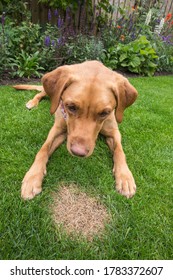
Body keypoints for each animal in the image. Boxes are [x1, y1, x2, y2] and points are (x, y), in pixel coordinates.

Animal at [13, 60, 138, 199]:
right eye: (71, 107)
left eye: (105, 113)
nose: (78, 152)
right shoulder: (57, 129)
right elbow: (43, 149)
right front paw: (32, 177)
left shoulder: (114, 132)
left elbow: (119, 151)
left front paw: (125, 177)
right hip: (47, 91)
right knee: (40, 93)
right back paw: (32, 102)